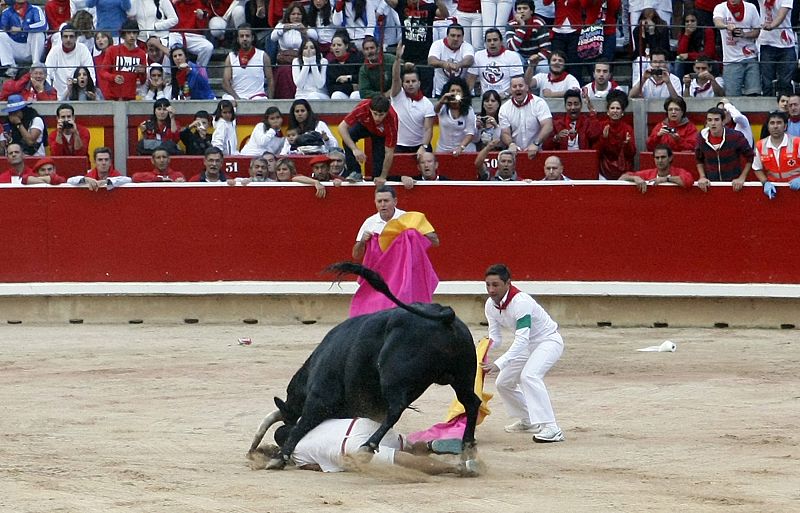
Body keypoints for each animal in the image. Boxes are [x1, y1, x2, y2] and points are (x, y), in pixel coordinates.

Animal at [247, 262, 481, 475]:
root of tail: (445, 315)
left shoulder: (320, 400)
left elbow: (300, 426)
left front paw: (279, 458)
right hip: (463, 376)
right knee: (471, 402)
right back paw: (467, 449)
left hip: (393, 377)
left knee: (396, 408)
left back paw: (367, 446)